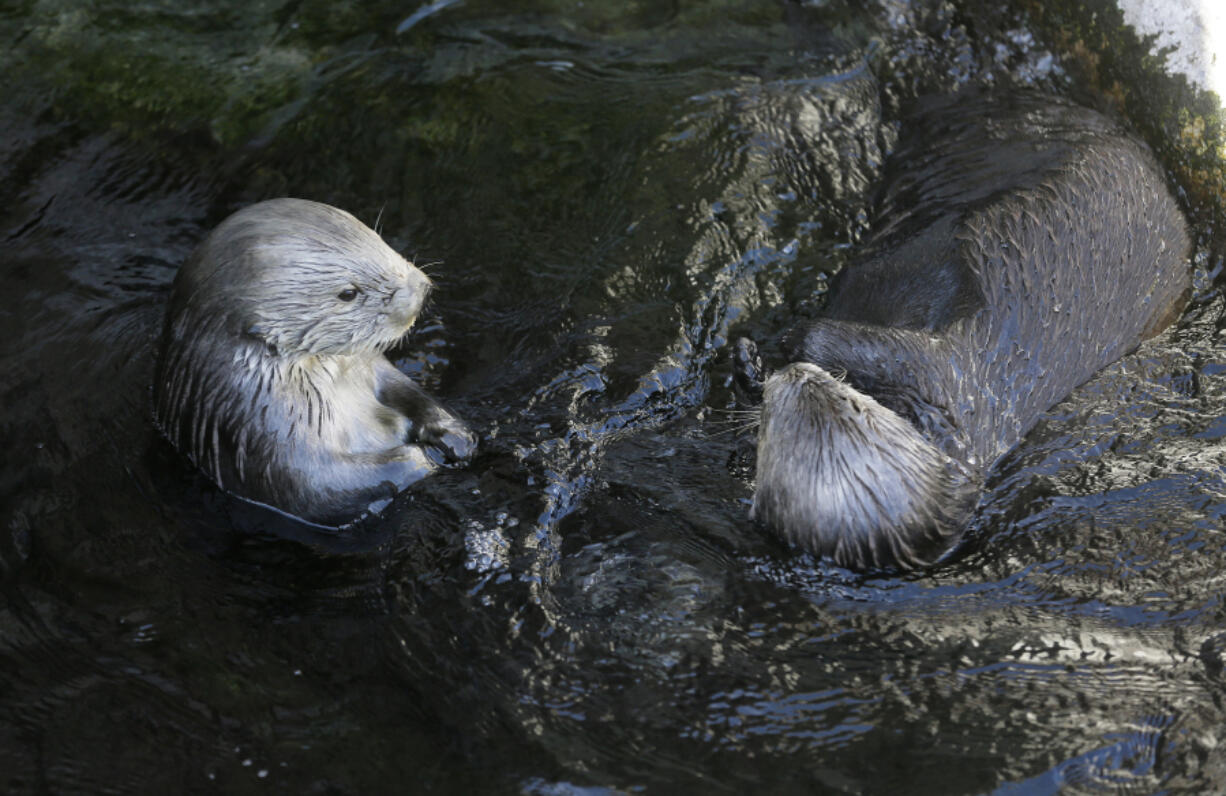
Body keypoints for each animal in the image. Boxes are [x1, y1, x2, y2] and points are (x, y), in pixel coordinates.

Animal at [152, 196, 473, 524]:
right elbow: (319, 489)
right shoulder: (265, 433)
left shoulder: (371, 366)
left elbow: (404, 388)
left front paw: (453, 434)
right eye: (348, 293)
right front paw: (425, 457)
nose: (421, 289)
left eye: (379, 239)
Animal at [740, 93, 1191, 569]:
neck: (946, 426)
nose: (796, 375)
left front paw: (768, 352)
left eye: (852, 404)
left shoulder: (933, 377)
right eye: (771, 434)